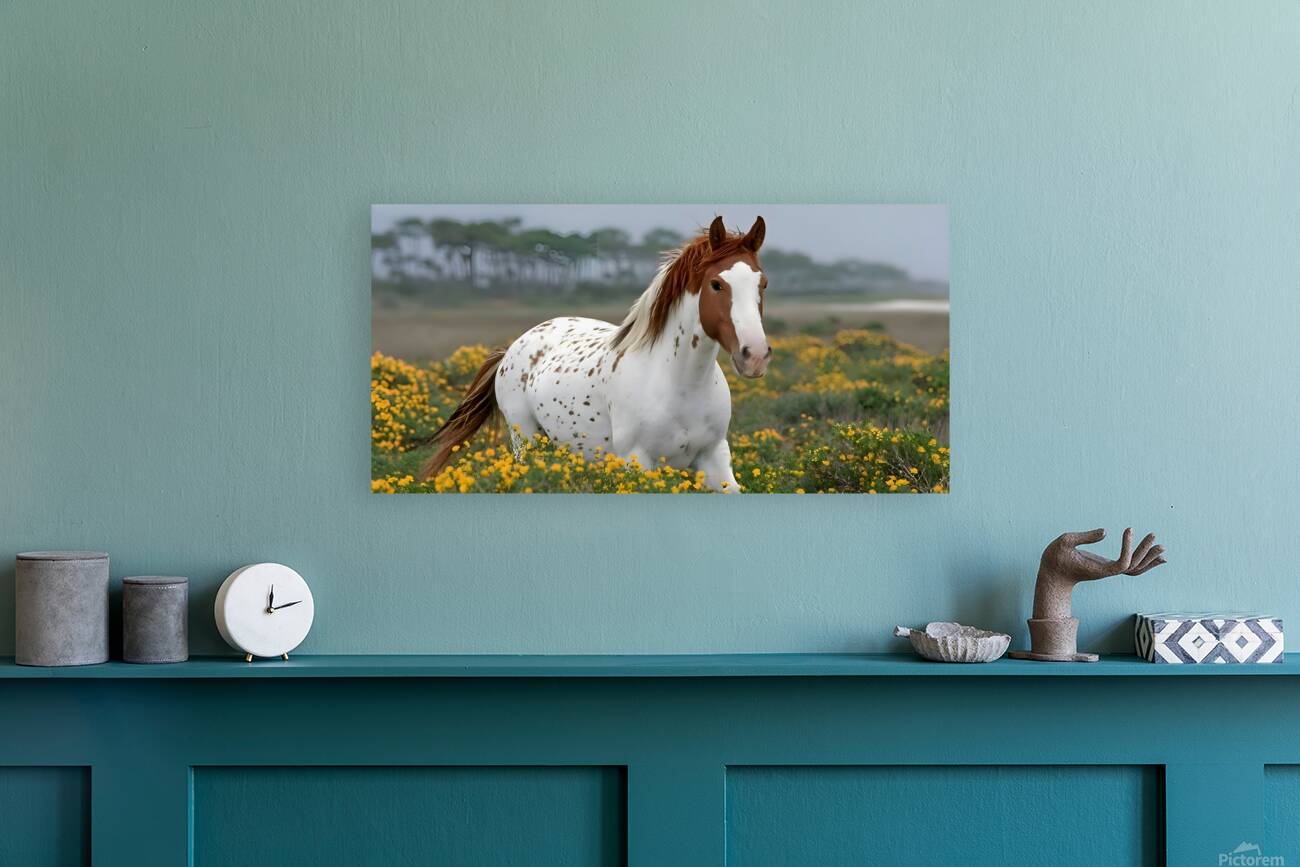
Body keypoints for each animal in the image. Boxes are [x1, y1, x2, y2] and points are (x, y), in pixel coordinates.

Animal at [419, 215, 770, 492]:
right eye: (716, 284)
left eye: (763, 283)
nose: (754, 355)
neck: (680, 383)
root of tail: (512, 349)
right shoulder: (638, 462)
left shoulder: (714, 459)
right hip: (527, 442)